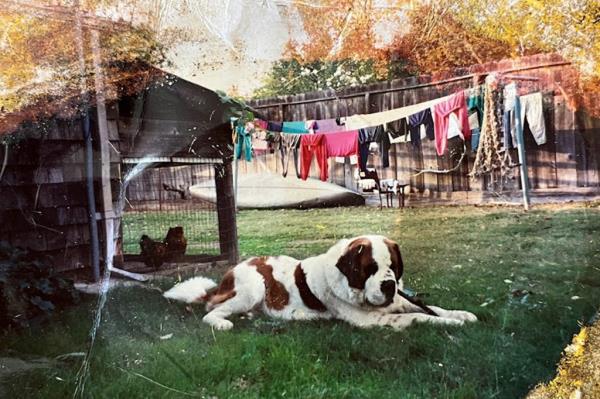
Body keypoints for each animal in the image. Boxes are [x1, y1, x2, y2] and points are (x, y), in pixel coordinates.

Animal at [162, 236, 476, 332]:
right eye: (370, 269)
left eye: (393, 268)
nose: (389, 286)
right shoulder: (372, 321)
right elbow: (416, 317)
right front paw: (450, 323)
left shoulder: (399, 300)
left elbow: (430, 307)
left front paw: (461, 314)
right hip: (252, 287)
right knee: (211, 310)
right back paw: (222, 323)